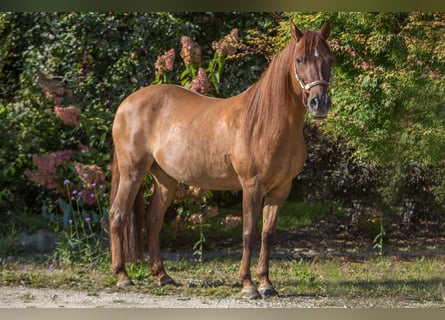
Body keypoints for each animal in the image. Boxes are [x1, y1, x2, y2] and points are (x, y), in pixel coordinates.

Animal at [109, 21, 332, 298]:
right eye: (300, 59)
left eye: (330, 58)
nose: (319, 103)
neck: (266, 123)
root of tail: (126, 103)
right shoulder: (252, 186)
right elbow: (248, 233)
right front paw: (248, 285)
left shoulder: (281, 189)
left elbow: (268, 235)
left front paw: (266, 283)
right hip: (132, 172)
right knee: (117, 214)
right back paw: (122, 276)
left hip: (165, 179)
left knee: (153, 220)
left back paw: (162, 275)